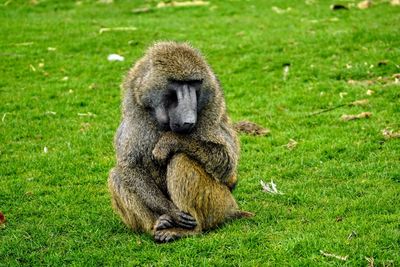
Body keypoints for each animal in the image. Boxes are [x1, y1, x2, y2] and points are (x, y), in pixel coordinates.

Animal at [108, 41, 253, 243]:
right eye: (177, 83)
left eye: (193, 83)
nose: (188, 120)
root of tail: (232, 208)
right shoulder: (135, 110)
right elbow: (129, 165)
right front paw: (171, 211)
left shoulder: (212, 108)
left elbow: (227, 163)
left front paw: (169, 141)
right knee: (117, 174)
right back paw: (158, 224)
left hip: (220, 202)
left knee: (181, 159)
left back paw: (189, 230)